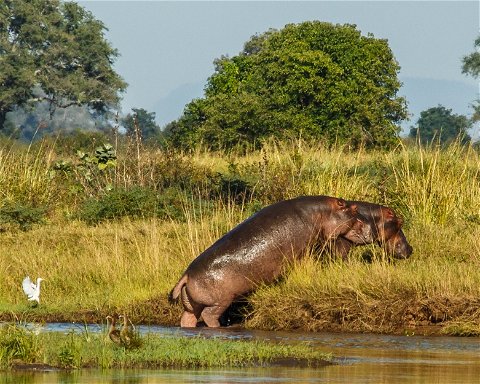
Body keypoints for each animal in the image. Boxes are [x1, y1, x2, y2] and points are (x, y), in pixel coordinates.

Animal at [171, 195, 374, 328]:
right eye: (355, 210)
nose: (372, 228)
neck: (322, 212)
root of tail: (186, 275)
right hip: (220, 301)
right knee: (208, 315)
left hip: (192, 304)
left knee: (188, 317)